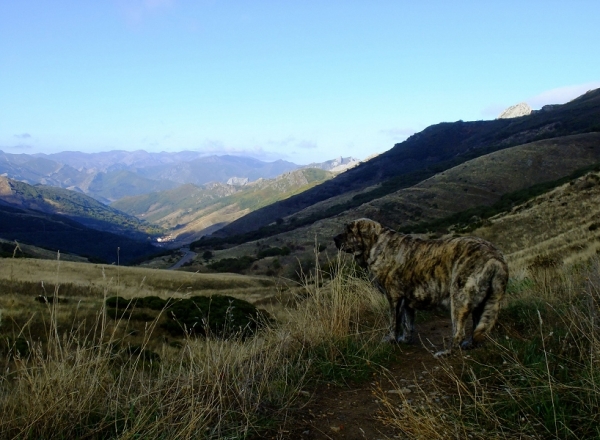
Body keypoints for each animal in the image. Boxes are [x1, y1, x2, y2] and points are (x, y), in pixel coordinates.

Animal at [332, 218, 506, 356]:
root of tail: (495, 258)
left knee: (459, 332)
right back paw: (470, 344)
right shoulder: (407, 302)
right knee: (478, 326)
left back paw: (447, 352)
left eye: (349, 230)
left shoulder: (394, 298)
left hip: (459, 299)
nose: (334, 238)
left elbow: (394, 322)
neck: (377, 245)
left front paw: (391, 339)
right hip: (483, 302)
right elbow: (408, 323)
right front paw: (405, 339)